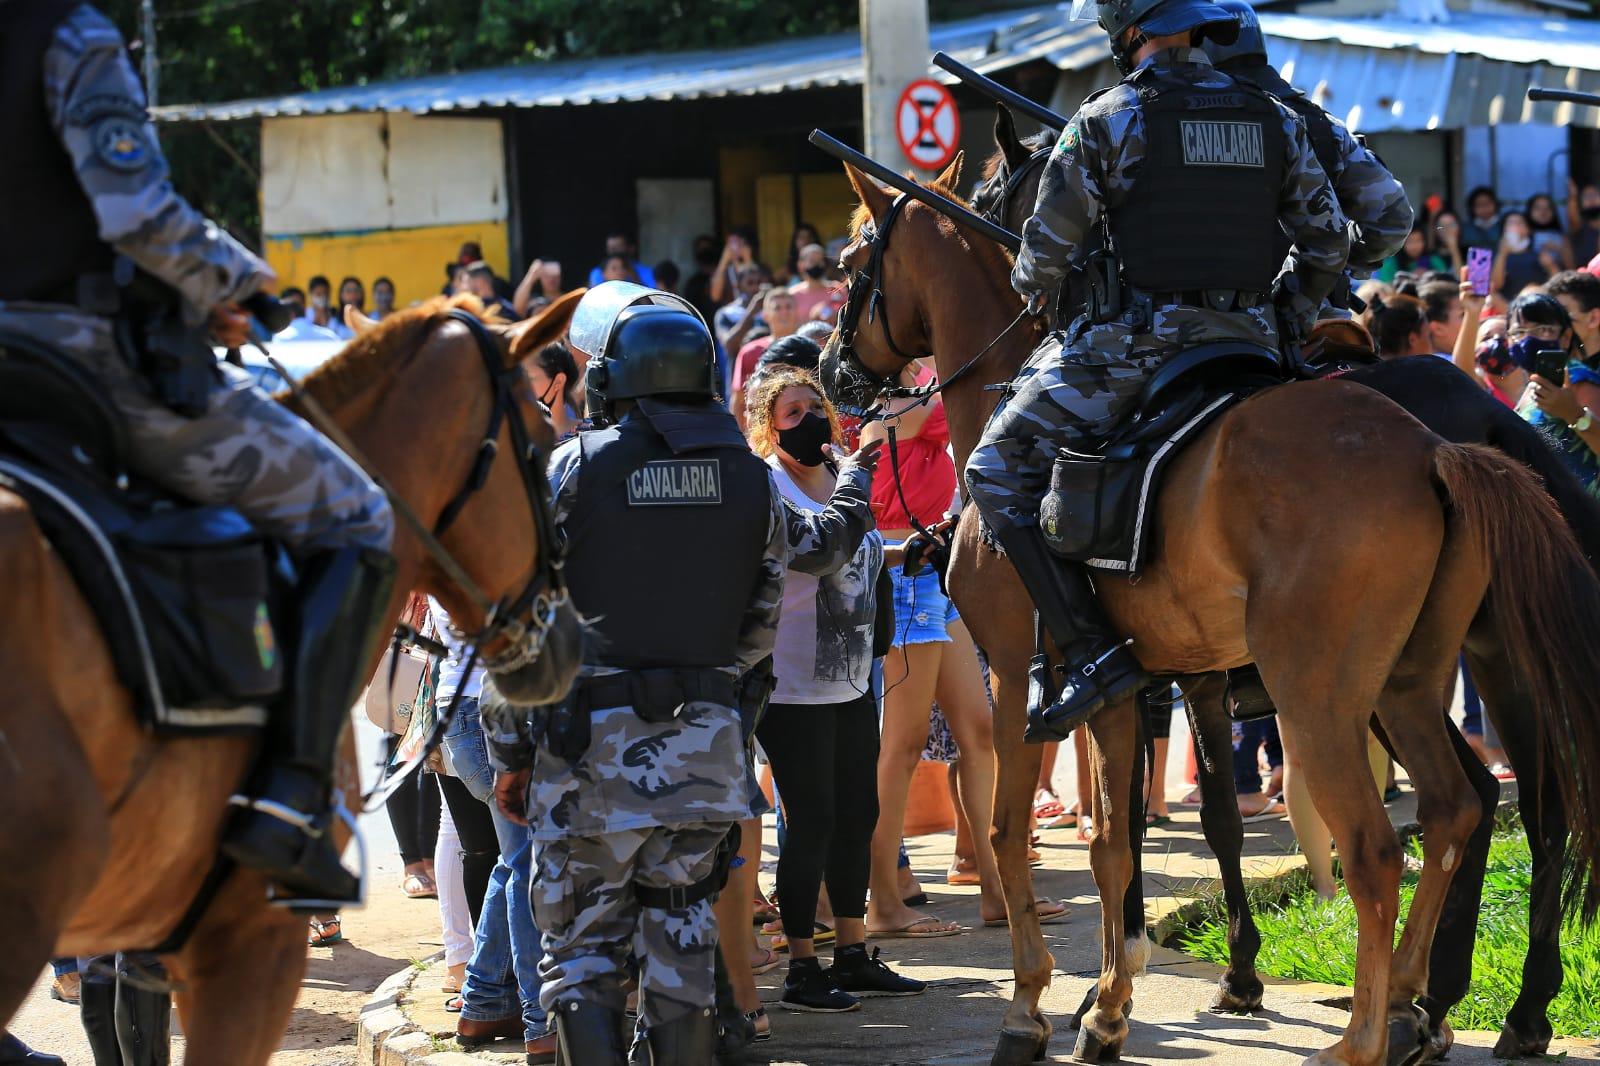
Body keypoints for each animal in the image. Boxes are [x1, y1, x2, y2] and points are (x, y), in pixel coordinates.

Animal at [825, 160, 1600, 1062]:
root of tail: (1438, 448)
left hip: (1328, 698)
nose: (836, 372)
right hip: (1410, 683)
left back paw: (1384, 1031)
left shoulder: (1017, 676)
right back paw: (1425, 1003)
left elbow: (1011, 830)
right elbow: (1116, 841)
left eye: (852, 263)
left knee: (1392, 846)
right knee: (1460, 808)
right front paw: (1110, 1005)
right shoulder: (1122, 687)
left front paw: (1032, 1007)